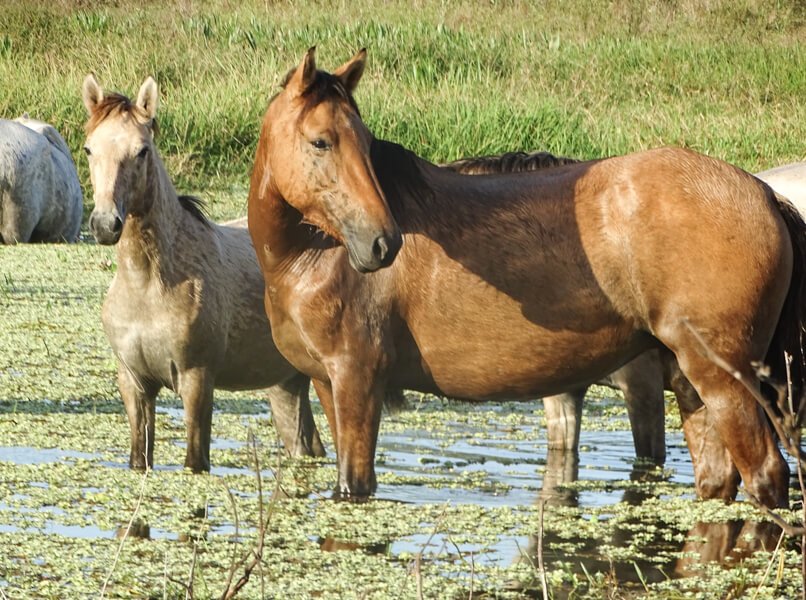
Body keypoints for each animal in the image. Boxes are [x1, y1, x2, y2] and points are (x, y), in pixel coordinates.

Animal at [81, 74, 325, 472]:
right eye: (89, 149)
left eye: (142, 151)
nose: (105, 224)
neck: (149, 286)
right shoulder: (134, 383)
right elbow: (139, 458)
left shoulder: (197, 381)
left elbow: (195, 460)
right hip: (287, 384)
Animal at [247, 48, 806, 507]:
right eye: (321, 141)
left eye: (364, 143)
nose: (382, 243)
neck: (311, 255)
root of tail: (763, 193)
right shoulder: (328, 384)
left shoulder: (357, 383)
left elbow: (354, 488)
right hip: (693, 384)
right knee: (717, 482)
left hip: (725, 381)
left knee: (766, 477)